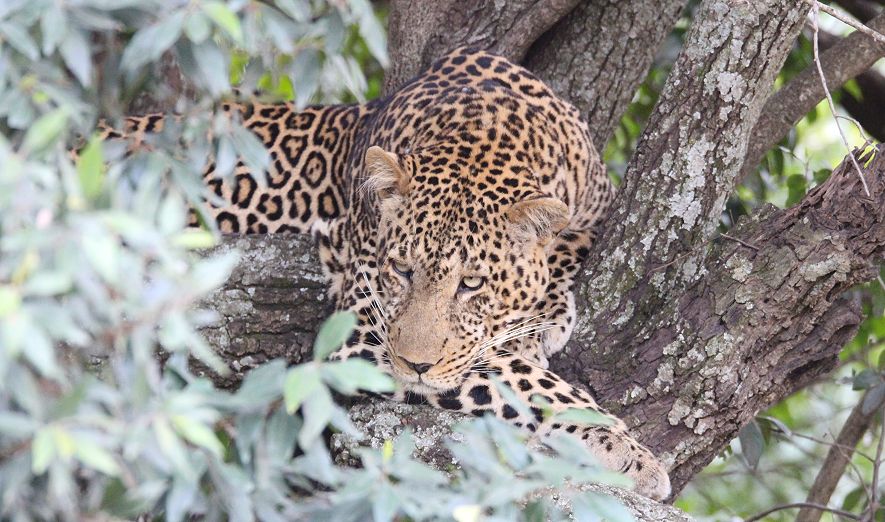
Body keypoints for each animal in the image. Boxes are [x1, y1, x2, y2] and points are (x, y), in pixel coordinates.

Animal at [105, 48, 668, 500]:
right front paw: (623, 448)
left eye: (471, 283)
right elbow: (514, 376)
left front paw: (543, 315)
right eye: (401, 269)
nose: (414, 365)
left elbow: (565, 244)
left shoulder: (597, 200)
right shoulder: (360, 333)